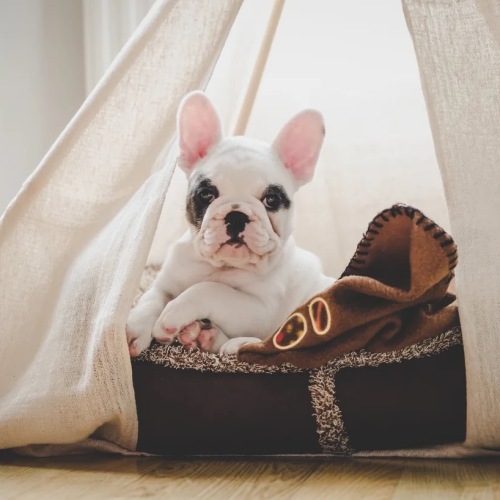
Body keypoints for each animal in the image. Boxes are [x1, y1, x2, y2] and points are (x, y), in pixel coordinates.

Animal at [127, 90, 334, 356]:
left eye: (271, 200)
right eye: (206, 194)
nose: (236, 215)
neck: (218, 266)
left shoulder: (259, 309)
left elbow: (210, 289)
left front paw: (173, 313)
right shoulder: (165, 283)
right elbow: (150, 299)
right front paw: (132, 329)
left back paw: (228, 341)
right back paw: (203, 335)